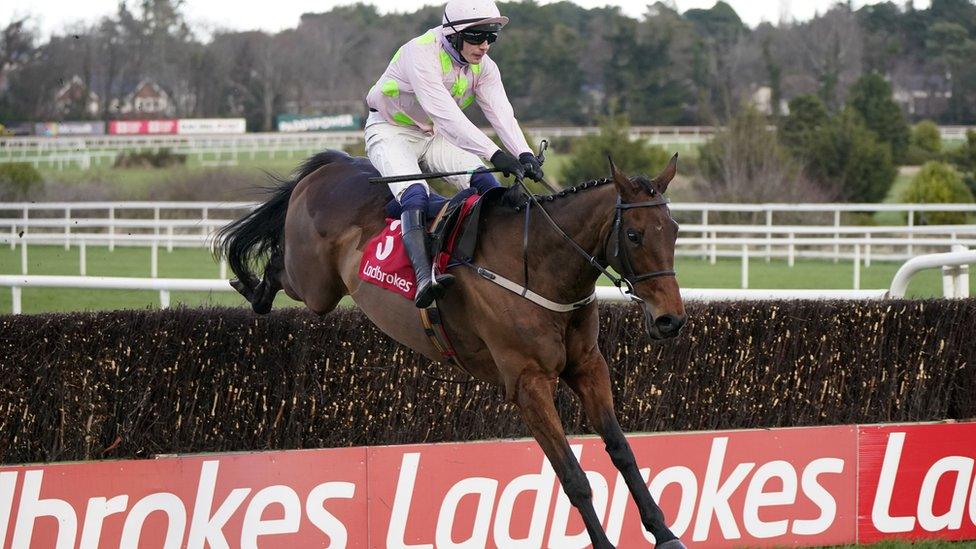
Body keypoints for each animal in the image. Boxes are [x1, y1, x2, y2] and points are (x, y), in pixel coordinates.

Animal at [214, 150, 688, 548]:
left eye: (675, 231)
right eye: (634, 235)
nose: (671, 319)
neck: (539, 265)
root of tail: (336, 163)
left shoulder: (588, 367)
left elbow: (623, 451)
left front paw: (665, 533)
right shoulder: (528, 382)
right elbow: (572, 475)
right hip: (314, 286)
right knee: (279, 267)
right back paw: (251, 286)